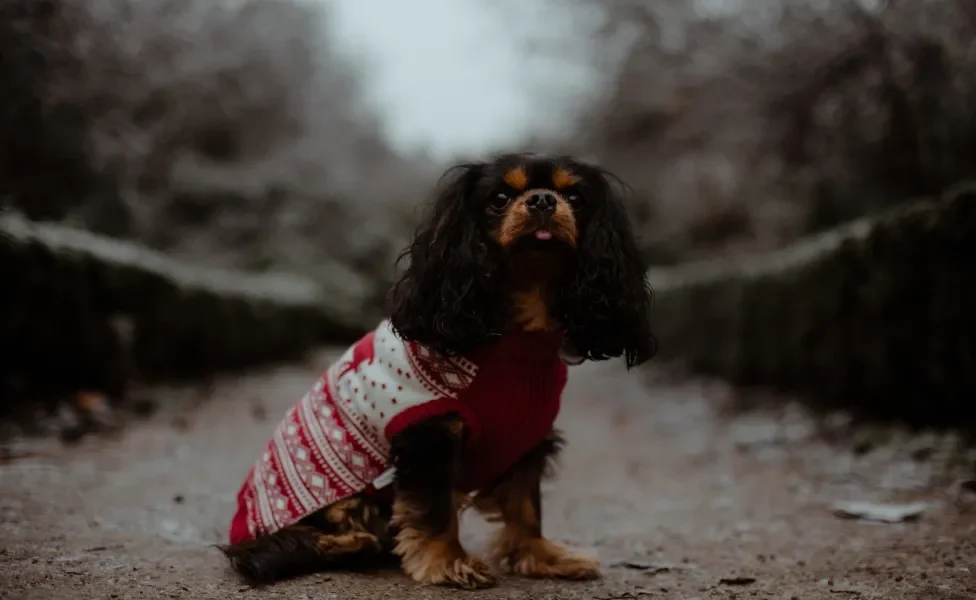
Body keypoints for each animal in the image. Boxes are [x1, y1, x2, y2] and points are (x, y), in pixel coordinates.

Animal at [217, 152, 652, 588]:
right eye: (499, 199)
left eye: (575, 197)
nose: (543, 199)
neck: (516, 337)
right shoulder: (430, 433)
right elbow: (436, 508)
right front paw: (448, 562)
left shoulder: (527, 436)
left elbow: (527, 505)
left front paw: (540, 555)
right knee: (285, 544)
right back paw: (352, 542)